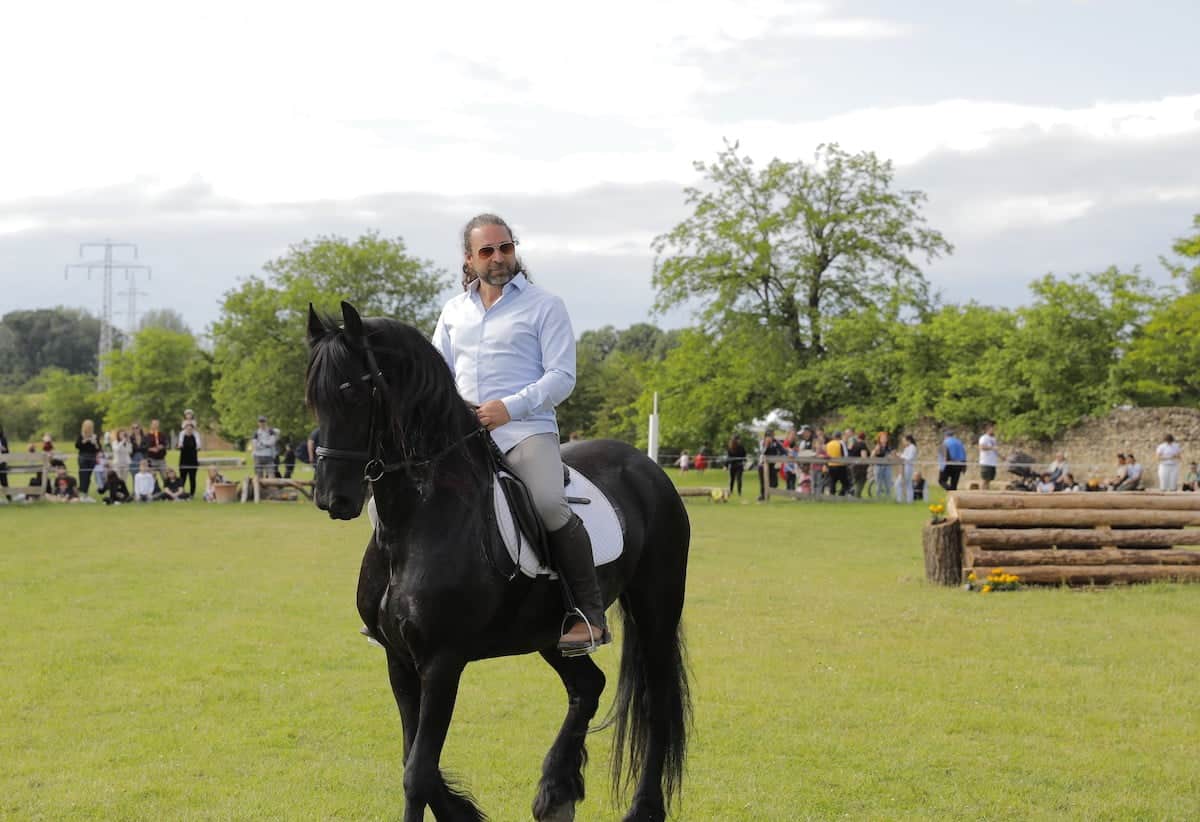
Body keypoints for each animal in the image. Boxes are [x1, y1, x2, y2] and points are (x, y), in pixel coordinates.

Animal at [304, 302, 691, 820]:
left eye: (351, 392)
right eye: (313, 398)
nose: (333, 498)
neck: (418, 518)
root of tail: (647, 468)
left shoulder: (443, 662)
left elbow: (417, 773)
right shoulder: (398, 659)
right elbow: (416, 762)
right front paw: (462, 812)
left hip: (655, 608)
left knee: (656, 703)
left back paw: (642, 808)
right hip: (553, 632)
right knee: (587, 686)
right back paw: (556, 792)